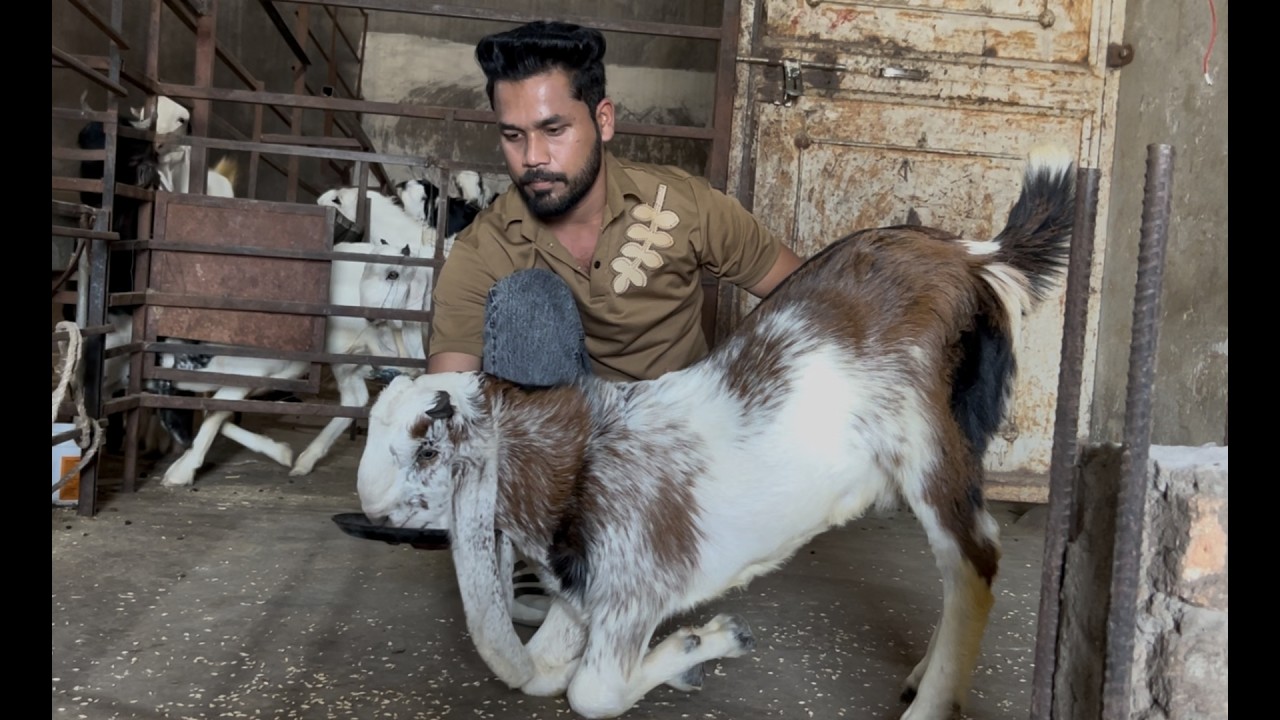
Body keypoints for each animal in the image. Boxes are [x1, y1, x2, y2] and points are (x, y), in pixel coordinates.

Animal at [354, 145, 1076, 719]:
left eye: (425, 442)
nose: (372, 513)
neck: (582, 462)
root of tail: (976, 254)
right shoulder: (588, 597)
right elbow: (545, 674)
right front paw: (693, 651)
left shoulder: (634, 589)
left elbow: (590, 693)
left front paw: (705, 642)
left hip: (930, 441)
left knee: (974, 557)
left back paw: (930, 702)